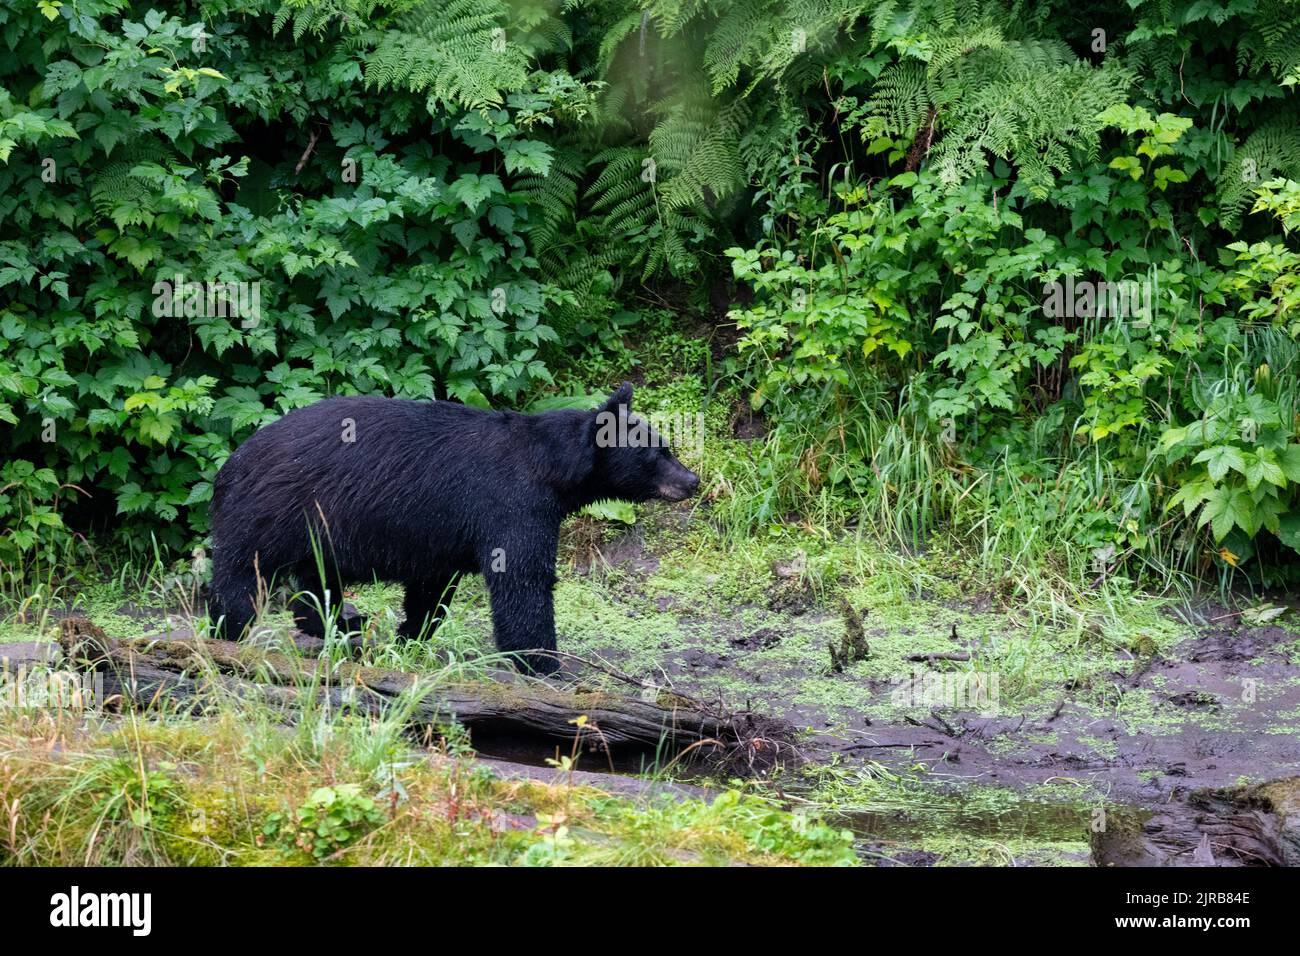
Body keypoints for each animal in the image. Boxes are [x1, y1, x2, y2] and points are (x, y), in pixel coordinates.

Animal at [208, 382, 696, 671]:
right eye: (657, 453)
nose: (692, 480)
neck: (551, 467)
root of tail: (232, 462)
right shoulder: (511, 505)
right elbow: (522, 578)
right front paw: (542, 660)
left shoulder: (440, 536)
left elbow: (432, 589)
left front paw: (411, 638)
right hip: (271, 511)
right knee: (240, 578)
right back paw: (228, 632)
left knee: (316, 580)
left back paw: (338, 622)